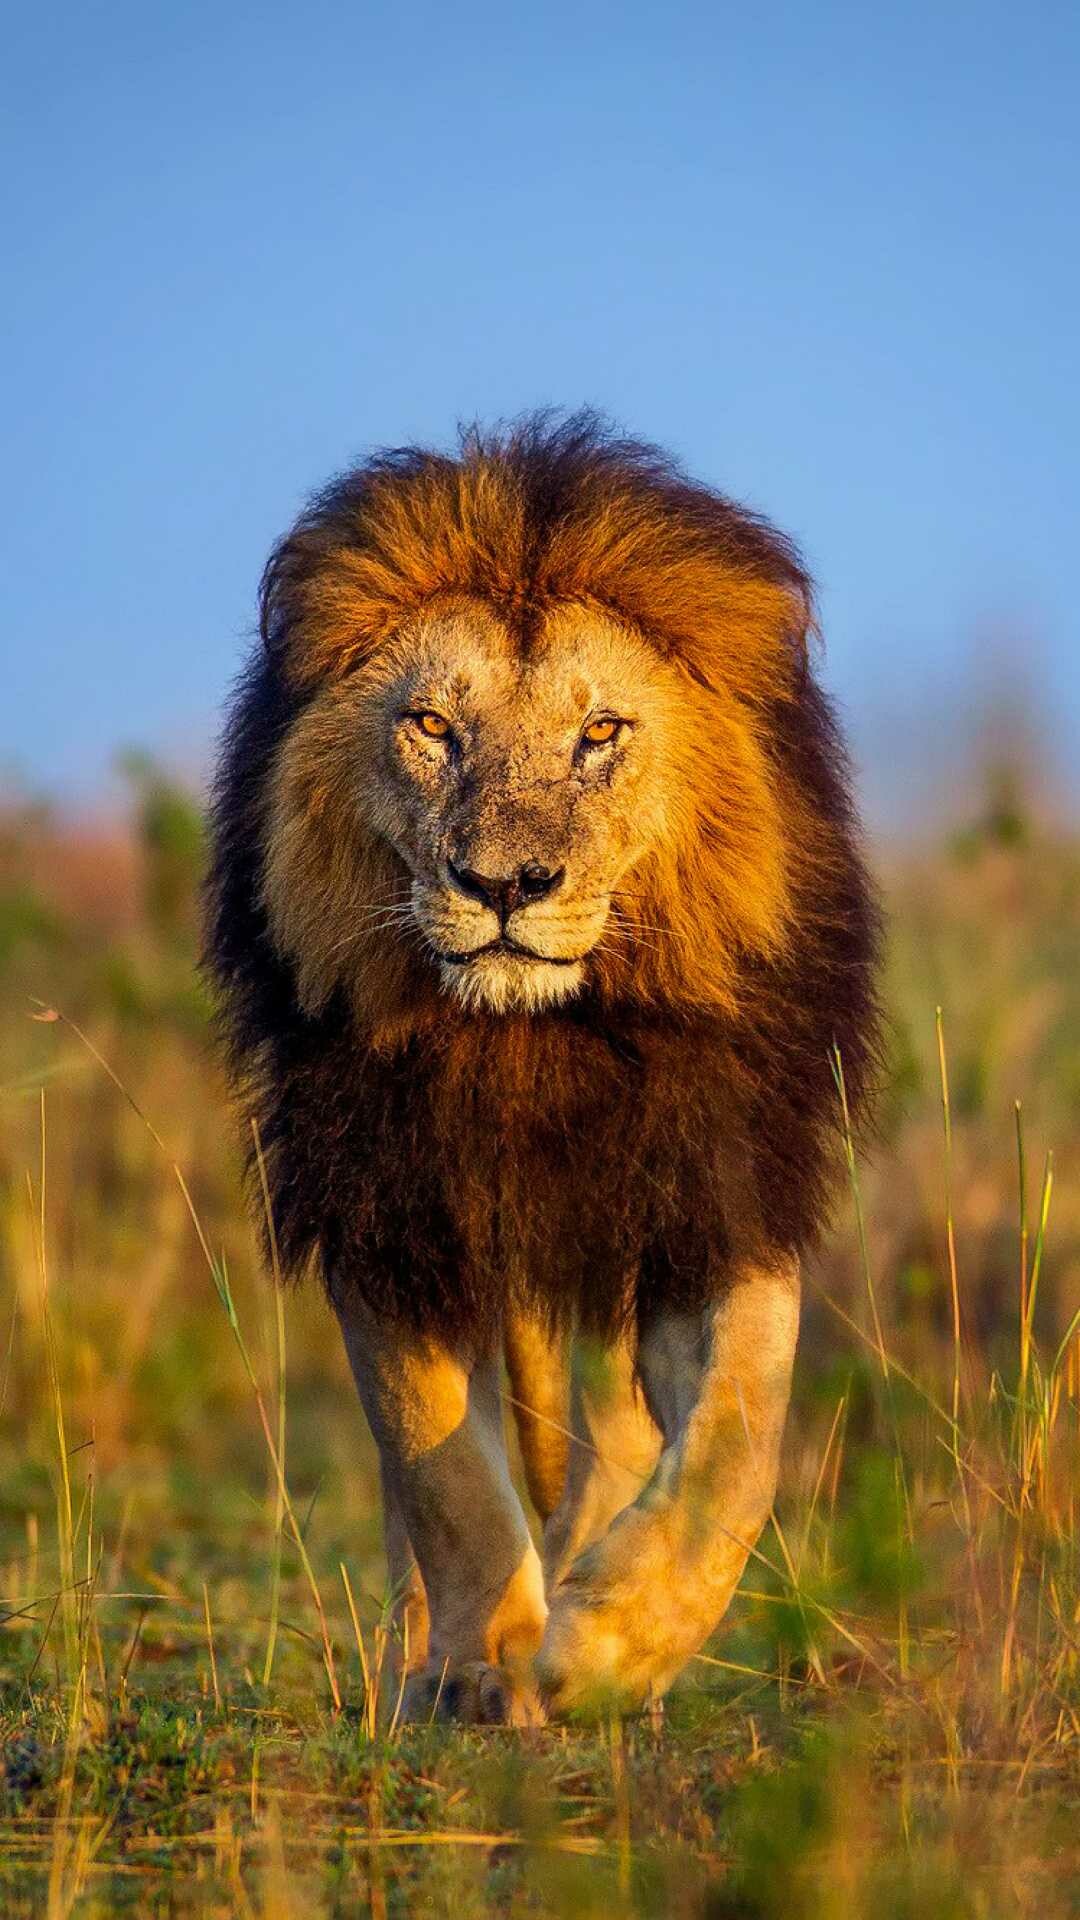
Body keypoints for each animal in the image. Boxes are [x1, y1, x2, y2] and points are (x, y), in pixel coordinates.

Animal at [204, 410, 880, 1722]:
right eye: (432, 727)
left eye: (600, 732)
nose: (505, 885)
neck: (532, 1045)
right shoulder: (389, 1200)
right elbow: (441, 1471)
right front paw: (482, 1664)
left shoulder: (710, 1193)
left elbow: (737, 1441)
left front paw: (607, 1647)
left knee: (618, 1437)